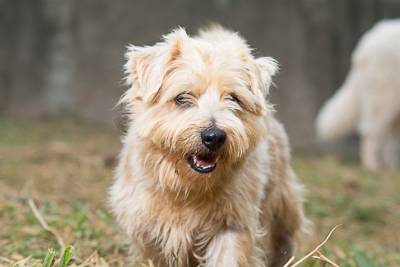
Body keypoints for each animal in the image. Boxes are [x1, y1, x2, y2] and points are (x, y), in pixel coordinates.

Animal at [109, 25, 306, 267]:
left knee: (283, 236)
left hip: (282, 197)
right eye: (182, 98)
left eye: (234, 99)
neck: (187, 187)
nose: (214, 137)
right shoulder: (148, 228)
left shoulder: (231, 225)